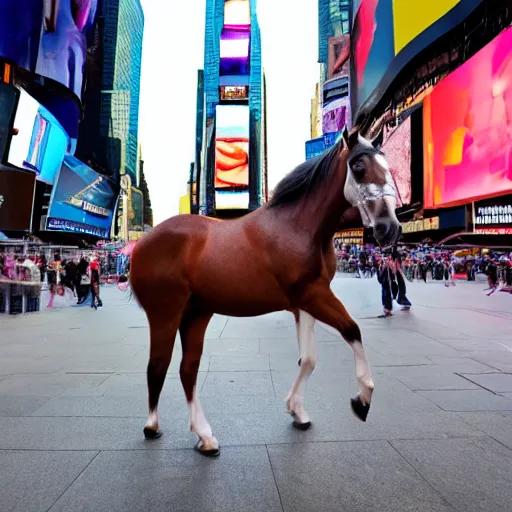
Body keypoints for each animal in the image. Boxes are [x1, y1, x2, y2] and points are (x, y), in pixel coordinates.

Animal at [130, 127, 402, 456]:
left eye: (387, 166)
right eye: (359, 167)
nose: (390, 228)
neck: (297, 226)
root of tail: (140, 245)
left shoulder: (305, 303)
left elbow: (308, 359)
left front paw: (297, 411)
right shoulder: (314, 295)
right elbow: (352, 330)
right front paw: (362, 399)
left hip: (197, 313)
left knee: (187, 369)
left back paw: (204, 437)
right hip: (166, 313)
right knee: (158, 365)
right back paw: (152, 426)